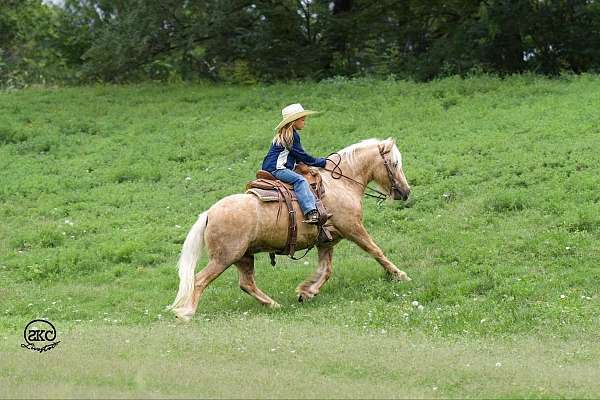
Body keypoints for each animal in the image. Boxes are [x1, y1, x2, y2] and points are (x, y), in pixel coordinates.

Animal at [171, 138, 410, 322]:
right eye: (394, 163)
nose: (406, 191)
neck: (340, 184)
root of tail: (209, 213)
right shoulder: (353, 228)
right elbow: (375, 251)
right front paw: (400, 275)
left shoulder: (326, 241)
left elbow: (326, 269)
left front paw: (307, 291)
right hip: (224, 258)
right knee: (200, 280)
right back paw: (186, 313)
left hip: (243, 257)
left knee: (246, 283)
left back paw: (273, 304)